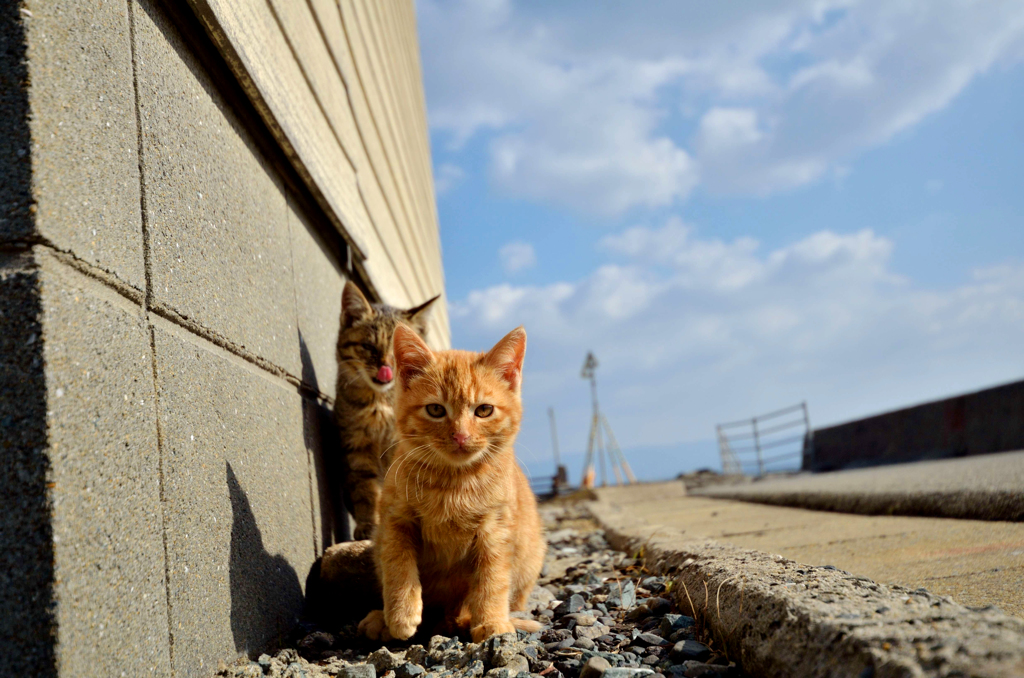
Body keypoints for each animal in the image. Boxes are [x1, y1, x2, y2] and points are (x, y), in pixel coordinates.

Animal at [331, 280, 436, 540]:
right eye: (369, 347)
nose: (386, 369)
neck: (380, 403)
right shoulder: (357, 448)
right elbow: (366, 493)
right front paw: (369, 526)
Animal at [362, 323, 552, 643]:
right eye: (436, 410)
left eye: (484, 410)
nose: (461, 435)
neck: (452, 482)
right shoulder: (394, 519)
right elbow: (397, 562)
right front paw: (400, 614)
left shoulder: (497, 528)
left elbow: (492, 577)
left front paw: (491, 621)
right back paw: (382, 620)